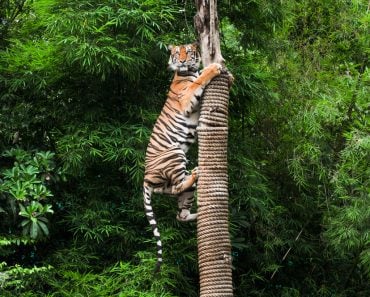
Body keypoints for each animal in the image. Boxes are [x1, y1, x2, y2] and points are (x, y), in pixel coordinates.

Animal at [143, 42, 221, 272]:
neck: (187, 72)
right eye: (178, 53)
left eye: (189, 51)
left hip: (174, 187)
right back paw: (195, 172)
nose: (184, 61)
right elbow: (199, 81)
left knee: (180, 212)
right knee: (179, 186)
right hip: (175, 153)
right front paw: (213, 68)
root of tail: (146, 177)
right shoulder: (187, 99)